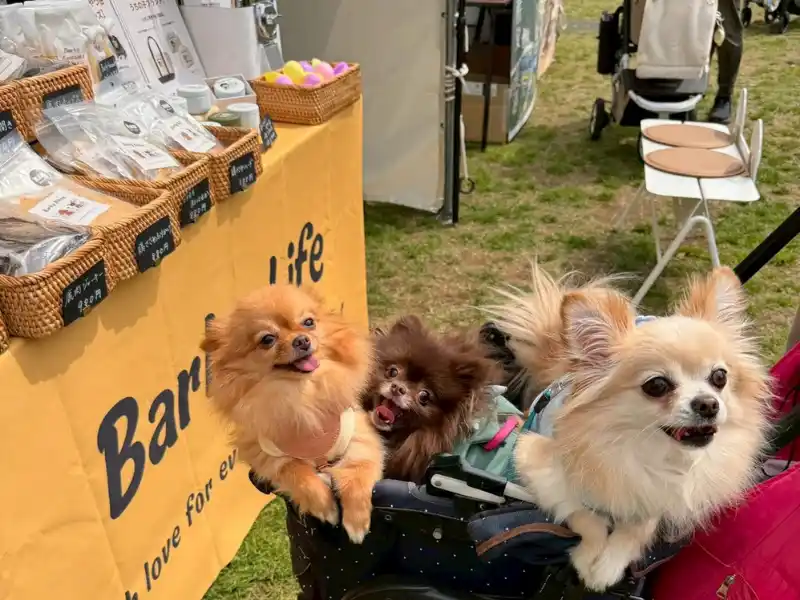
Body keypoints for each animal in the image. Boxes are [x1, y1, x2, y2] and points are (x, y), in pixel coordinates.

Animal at [200, 285, 384, 544]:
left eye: (308, 322)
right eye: (268, 339)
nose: (302, 340)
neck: (302, 395)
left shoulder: (358, 435)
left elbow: (358, 473)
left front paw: (357, 523)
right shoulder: (267, 456)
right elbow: (297, 473)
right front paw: (325, 507)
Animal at [492, 265, 771, 591]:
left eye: (719, 377)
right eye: (657, 385)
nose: (708, 404)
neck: (653, 452)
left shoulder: (656, 495)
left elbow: (639, 526)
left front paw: (610, 562)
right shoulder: (535, 462)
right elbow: (583, 515)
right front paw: (591, 560)